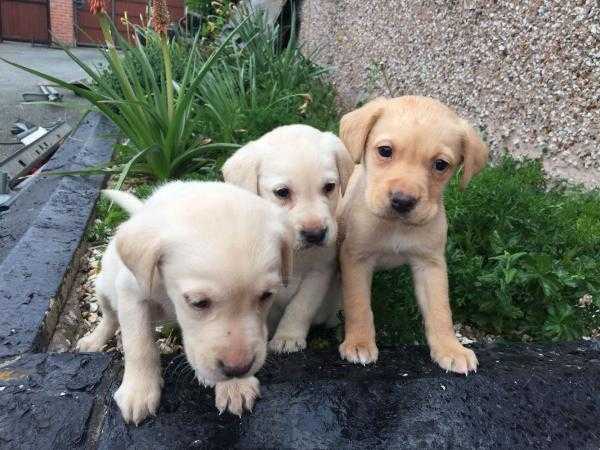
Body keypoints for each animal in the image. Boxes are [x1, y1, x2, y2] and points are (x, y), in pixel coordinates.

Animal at [76, 181, 294, 424]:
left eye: (266, 295)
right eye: (198, 302)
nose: (238, 369)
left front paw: (235, 386)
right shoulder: (131, 292)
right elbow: (139, 344)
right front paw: (139, 391)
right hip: (103, 288)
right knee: (110, 317)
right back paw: (94, 340)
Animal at [221, 125, 354, 354]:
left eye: (329, 187)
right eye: (282, 192)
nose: (315, 234)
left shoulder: (320, 271)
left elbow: (301, 306)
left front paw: (288, 337)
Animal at [338, 96, 488, 374]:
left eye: (440, 165)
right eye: (385, 151)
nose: (402, 201)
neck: (397, 226)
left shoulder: (431, 263)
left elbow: (440, 310)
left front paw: (450, 349)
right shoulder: (355, 257)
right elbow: (358, 304)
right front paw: (359, 342)